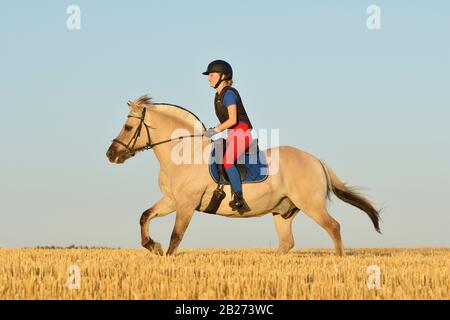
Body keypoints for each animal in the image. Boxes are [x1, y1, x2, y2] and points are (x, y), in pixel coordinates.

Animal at [105, 94, 380, 256]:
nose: (111, 154)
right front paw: (153, 246)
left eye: (128, 127)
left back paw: (339, 261)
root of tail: (316, 160)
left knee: (333, 227)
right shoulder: (171, 200)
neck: (183, 154)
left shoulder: (186, 204)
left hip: (311, 205)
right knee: (286, 243)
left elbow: (176, 236)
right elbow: (145, 216)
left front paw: (165, 256)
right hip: (284, 210)